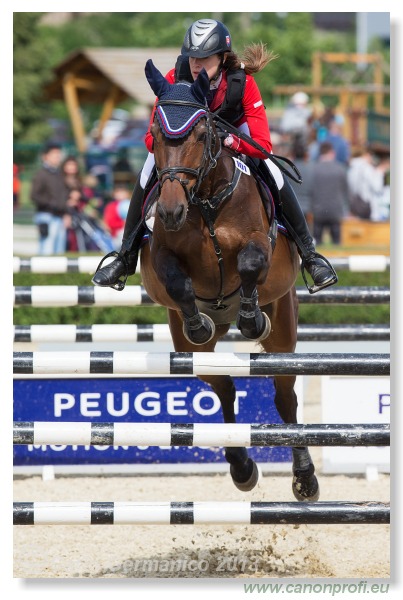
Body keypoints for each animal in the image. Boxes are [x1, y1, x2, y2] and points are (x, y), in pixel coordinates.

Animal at [140, 61, 320, 502]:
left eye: (202, 133)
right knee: (222, 386)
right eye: (155, 133)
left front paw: (252, 319)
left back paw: (304, 478)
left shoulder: (258, 245)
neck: (205, 201)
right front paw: (198, 321)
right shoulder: (163, 258)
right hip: (190, 352)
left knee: (284, 395)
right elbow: (178, 283)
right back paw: (242, 467)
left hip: (284, 332)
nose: (170, 211)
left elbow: (252, 263)